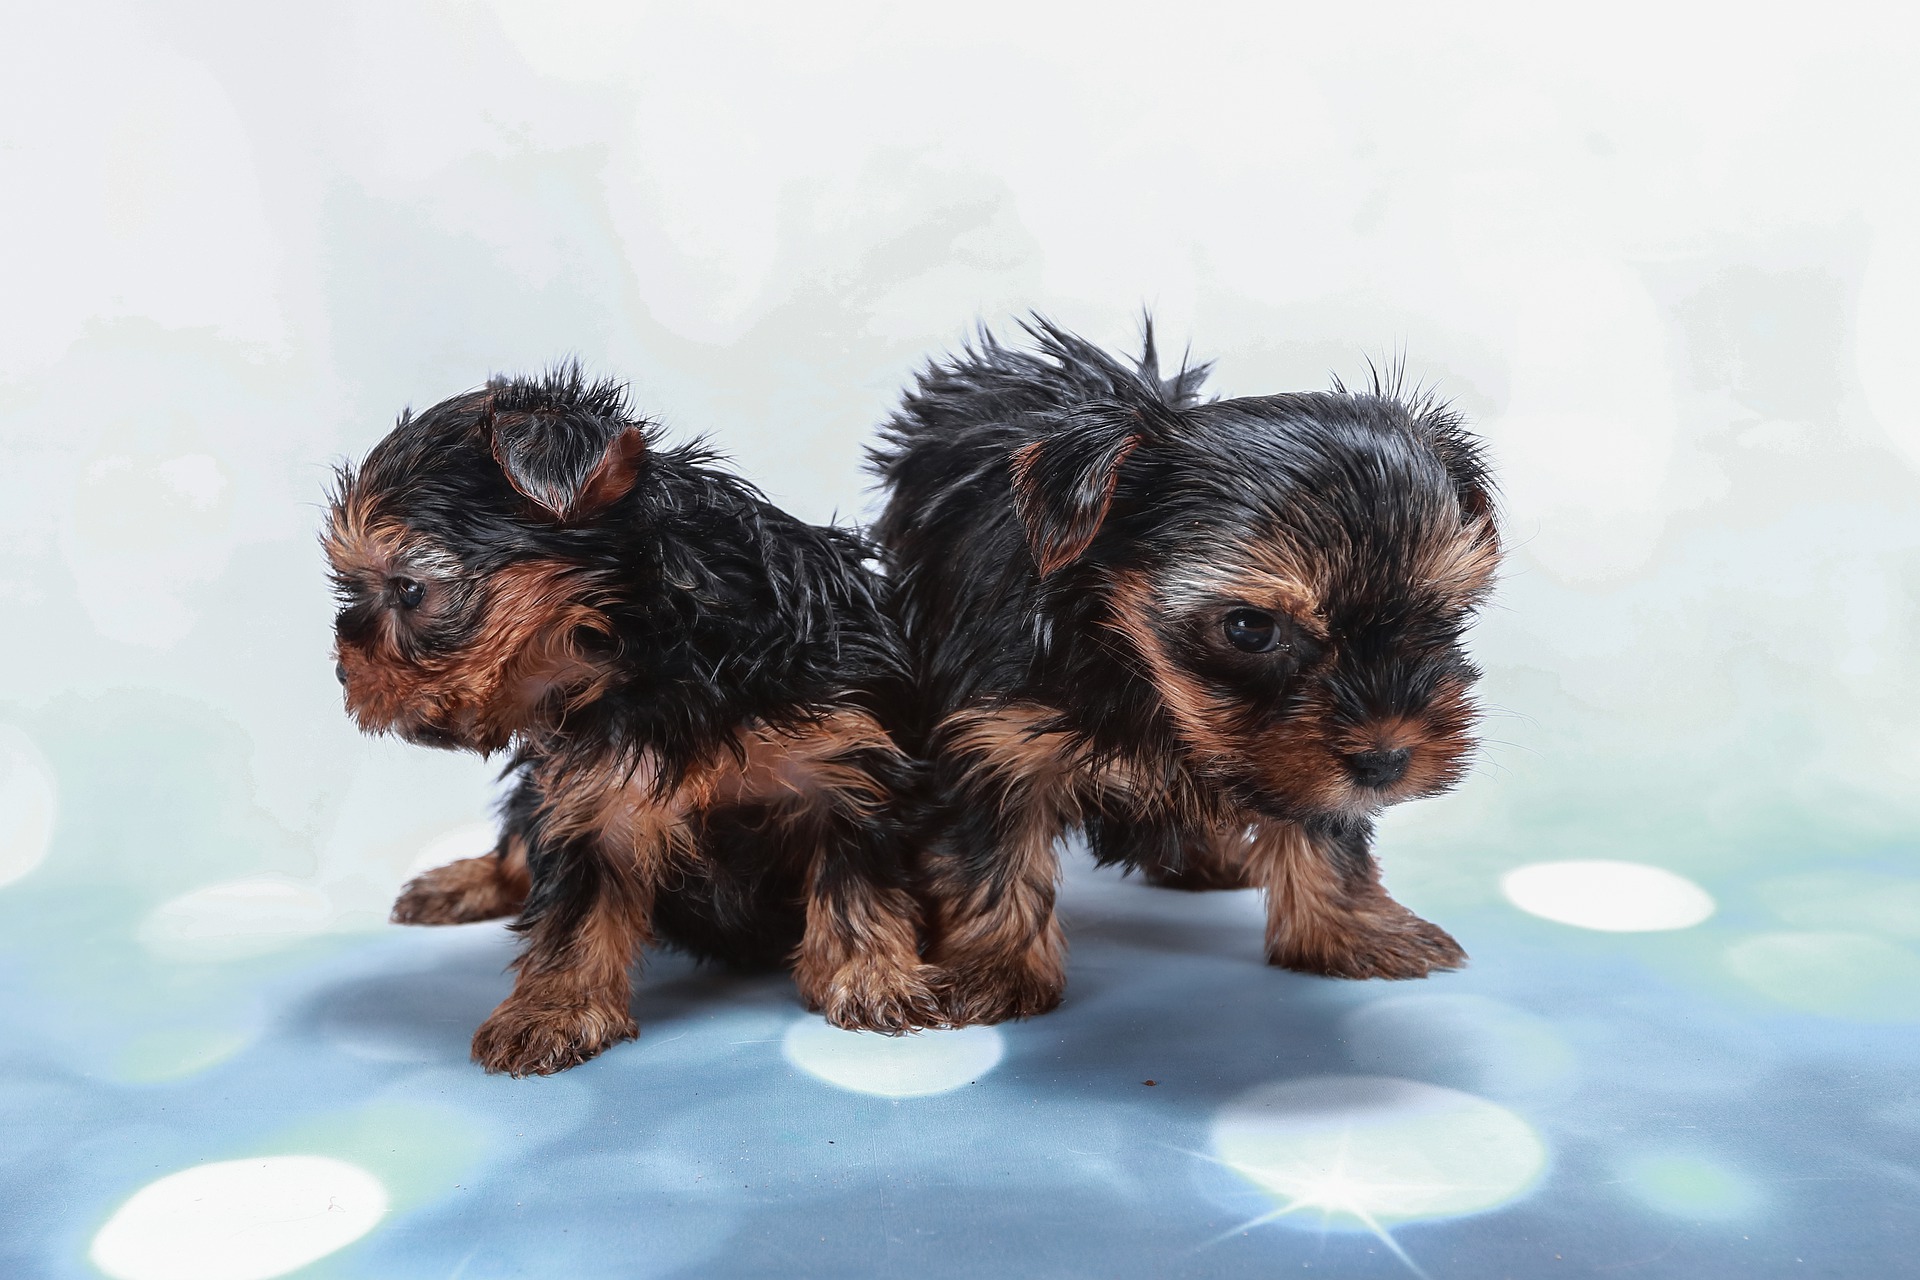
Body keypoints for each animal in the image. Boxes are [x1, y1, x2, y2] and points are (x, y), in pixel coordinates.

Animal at [324, 364, 936, 1074]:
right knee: (517, 842)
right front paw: (551, 1011)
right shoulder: (587, 793)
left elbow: (856, 878)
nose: (344, 673)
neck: (655, 657)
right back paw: (465, 880)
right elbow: (575, 910)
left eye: (409, 589)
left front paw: (871, 977)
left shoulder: (843, 755)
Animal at [871, 322, 1497, 1028]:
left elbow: (1325, 824)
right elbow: (992, 853)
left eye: (1441, 614)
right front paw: (994, 970)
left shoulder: (1298, 760)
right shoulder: (993, 737)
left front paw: (1353, 931)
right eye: (1249, 629)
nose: (1387, 761)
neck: (1140, 670)